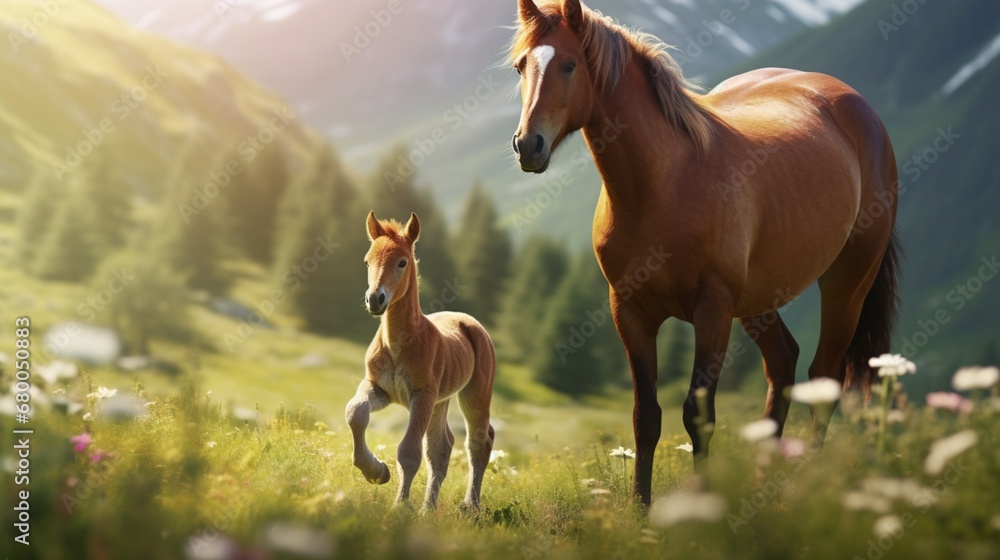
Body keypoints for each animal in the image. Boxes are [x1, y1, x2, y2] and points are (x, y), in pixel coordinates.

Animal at [345, 211, 497, 512]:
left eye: (402, 262)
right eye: (367, 261)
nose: (374, 299)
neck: (399, 344)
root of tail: (470, 321)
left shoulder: (422, 395)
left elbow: (409, 451)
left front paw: (400, 507)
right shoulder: (378, 388)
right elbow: (356, 413)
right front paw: (376, 472)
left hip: (475, 394)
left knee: (479, 442)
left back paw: (471, 506)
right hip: (441, 400)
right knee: (442, 447)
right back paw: (429, 509)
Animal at [509, 0, 900, 506]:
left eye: (570, 65)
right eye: (521, 67)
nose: (527, 145)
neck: (663, 185)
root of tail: (856, 106)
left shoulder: (712, 311)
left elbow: (699, 415)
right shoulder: (629, 311)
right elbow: (646, 415)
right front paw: (640, 508)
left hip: (847, 283)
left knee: (823, 378)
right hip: (758, 300)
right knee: (783, 362)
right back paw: (764, 482)